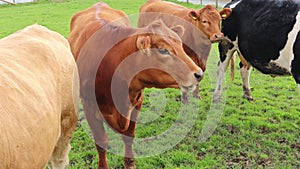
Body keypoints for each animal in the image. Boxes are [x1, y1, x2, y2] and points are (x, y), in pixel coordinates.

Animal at [68, 1, 204, 169]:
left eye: (180, 45)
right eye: (163, 50)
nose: (199, 73)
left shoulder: (137, 102)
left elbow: (129, 137)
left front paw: (130, 163)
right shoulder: (89, 107)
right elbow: (101, 142)